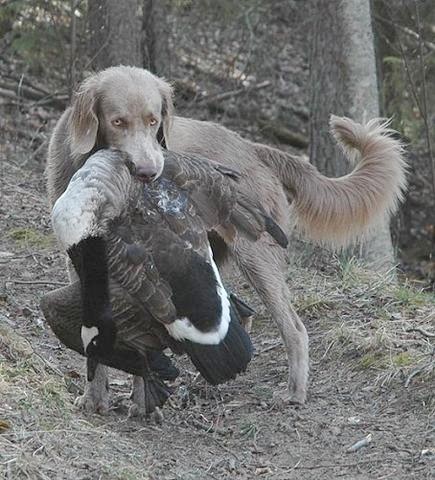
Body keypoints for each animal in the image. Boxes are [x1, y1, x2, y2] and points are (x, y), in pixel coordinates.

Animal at [47, 64, 408, 412]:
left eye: (153, 121)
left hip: (256, 256)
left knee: (294, 328)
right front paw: (98, 399)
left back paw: (294, 392)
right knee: (241, 313)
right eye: (117, 121)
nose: (149, 173)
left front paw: (137, 402)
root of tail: (255, 149)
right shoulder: (85, 267)